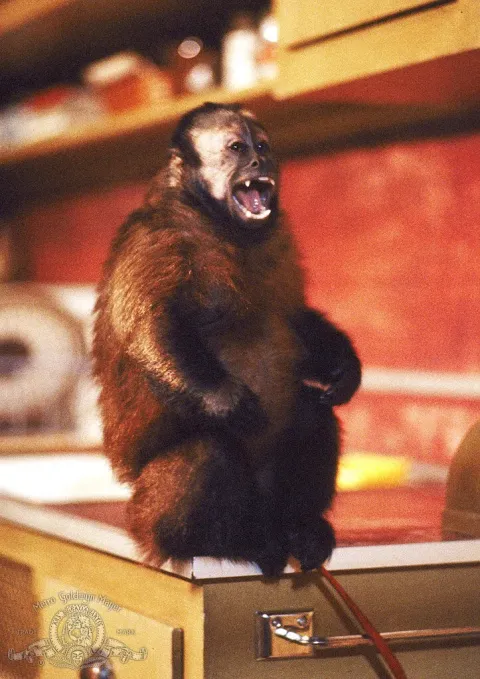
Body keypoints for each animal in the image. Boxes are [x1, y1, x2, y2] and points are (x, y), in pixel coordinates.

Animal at [92, 102, 361, 576]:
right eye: (237, 148)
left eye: (263, 147)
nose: (259, 163)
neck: (219, 225)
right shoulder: (156, 239)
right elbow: (151, 330)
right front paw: (225, 402)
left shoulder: (279, 240)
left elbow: (295, 316)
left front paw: (344, 368)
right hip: (146, 512)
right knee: (208, 452)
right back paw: (232, 542)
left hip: (267, 496)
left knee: (312, 412)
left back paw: (301, 527)